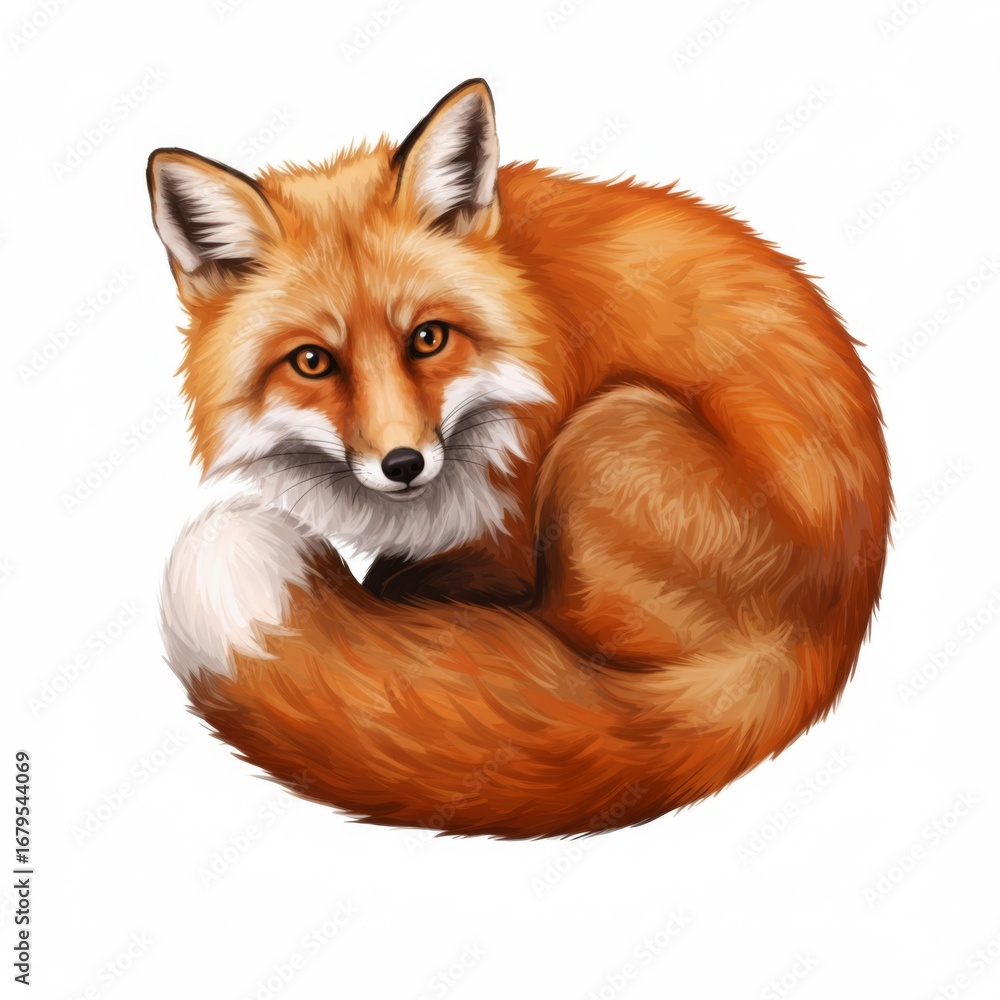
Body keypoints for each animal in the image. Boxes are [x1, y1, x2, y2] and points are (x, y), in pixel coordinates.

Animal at [147, 79, 891, 838]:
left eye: (428, 337)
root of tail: (825, 635)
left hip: (607, 429)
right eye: (312, 362)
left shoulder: (512, 519)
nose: (404, 464)